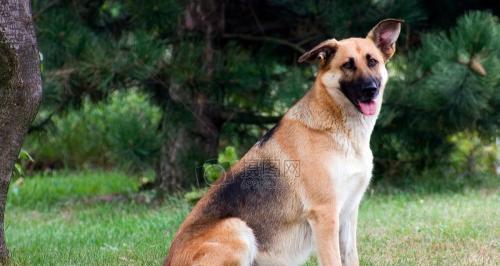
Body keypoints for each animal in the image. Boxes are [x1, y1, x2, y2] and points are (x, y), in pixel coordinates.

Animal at [166, 19, 404, 266]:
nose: (370, 90)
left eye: (372, 62)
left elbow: (351, 257)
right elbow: (334, 260)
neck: (340, 129)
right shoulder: (325, 215)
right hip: (238, 228)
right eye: (348, 65)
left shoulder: (347, 214)